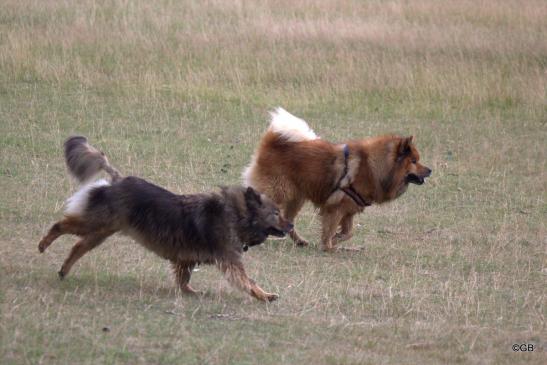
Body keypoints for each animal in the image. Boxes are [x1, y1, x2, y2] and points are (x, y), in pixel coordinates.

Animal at [39, 135, 296, 300]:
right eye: (276, 213)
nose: (291, 224)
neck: (236, 215)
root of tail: (118, 180)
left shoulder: (186, 260)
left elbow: (183, 280)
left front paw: (191, 293)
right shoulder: (230, 262)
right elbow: (248, 282)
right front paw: (265, 295)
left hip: (101, 232)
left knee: (78, 246)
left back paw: (63, 270)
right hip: (95, 223)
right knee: (60, 225)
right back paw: (43, 244)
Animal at [244, 106, 432, 252]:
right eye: (414, 161)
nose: (430, 170)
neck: (372, 166)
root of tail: (272, 143)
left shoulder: (349, 210)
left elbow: (348, 233)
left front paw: (337, 241)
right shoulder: (335, 208)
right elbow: (330, 231)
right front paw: (329, 246)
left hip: (296, 199)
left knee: (289, 222)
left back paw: (300, 241)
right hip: (278, 193)